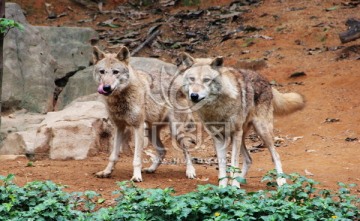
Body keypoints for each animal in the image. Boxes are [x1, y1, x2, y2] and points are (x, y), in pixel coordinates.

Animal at [91, 46, 195, 181]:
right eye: (102, 72)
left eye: (115, 72)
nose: (106, 87)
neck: (120, 98)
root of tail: (178, 82)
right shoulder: (119, 127)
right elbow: (113, 156)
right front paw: (106, 172)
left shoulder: (137, 126)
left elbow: (137, 158)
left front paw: (136, 176)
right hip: (150, 132)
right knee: (163, 150)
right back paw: (151, 169)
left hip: (175, 131)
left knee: (187, 151)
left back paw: (190, 171)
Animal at [177, 52, 304, 187]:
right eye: (192, 79)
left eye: (206, 80)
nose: (194, 96)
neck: (216, 109)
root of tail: (264, 79)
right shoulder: (218, 137)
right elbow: (222, 165)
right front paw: (223, 187)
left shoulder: (235, 133)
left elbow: (234, 163)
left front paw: (233, 186)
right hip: (242, 136)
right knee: (249, 159)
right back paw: (240, 181)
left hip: (261, 131)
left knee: (276, 155)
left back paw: (281, 181)